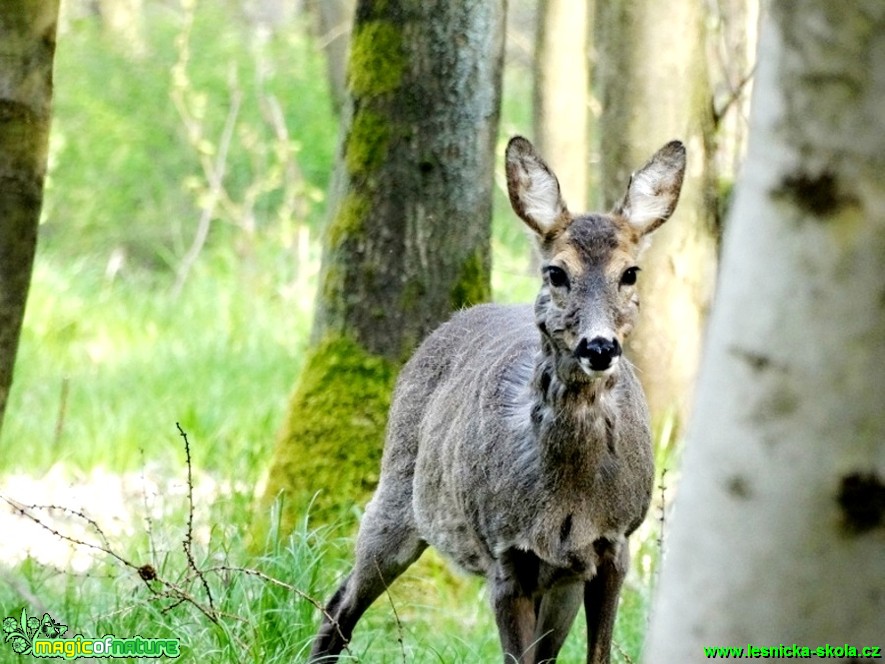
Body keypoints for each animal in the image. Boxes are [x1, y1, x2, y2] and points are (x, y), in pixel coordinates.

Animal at [308, 136, 688, 664]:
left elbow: (595, 655)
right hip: (397, 495)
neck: (568, 498)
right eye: (556, 273)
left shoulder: (615, 544)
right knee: (338, 606)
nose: (599, 347)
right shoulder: (505, 553)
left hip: (562, 581)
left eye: (630, 273)